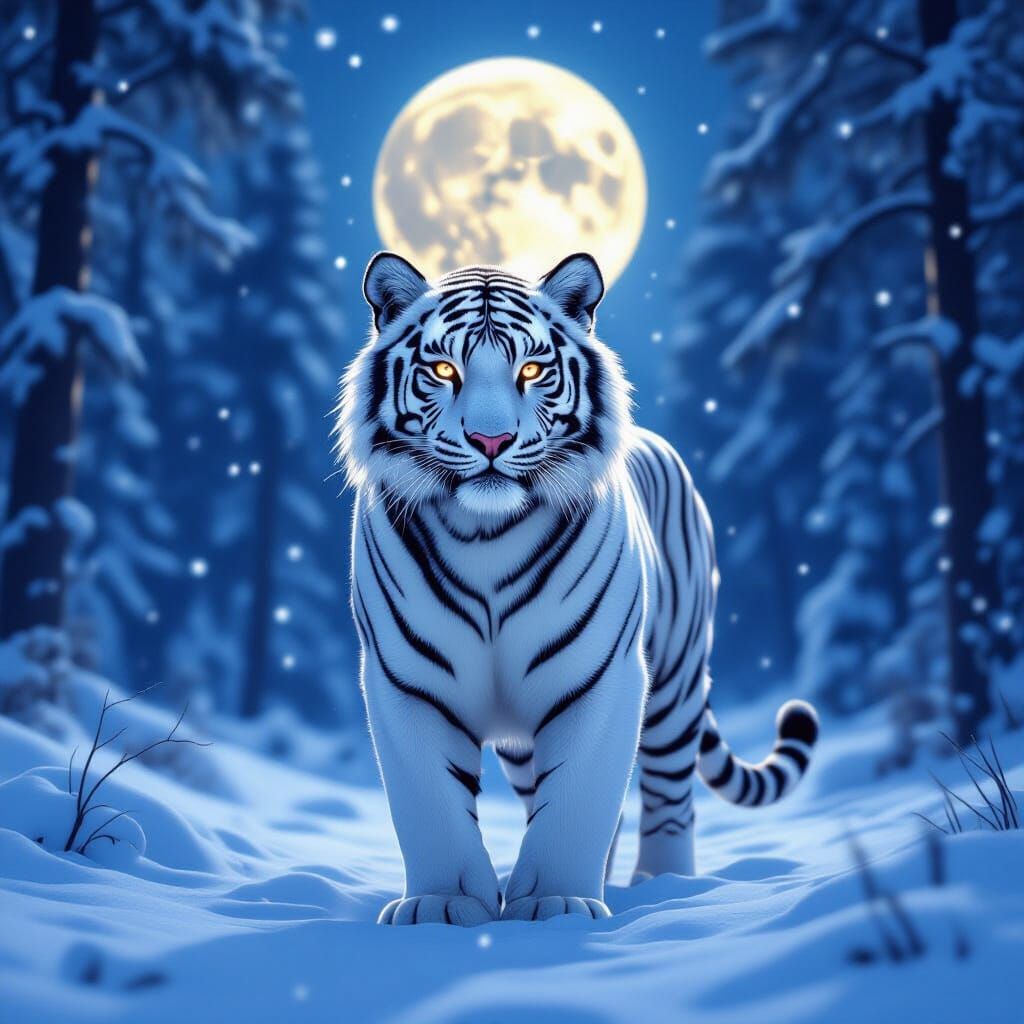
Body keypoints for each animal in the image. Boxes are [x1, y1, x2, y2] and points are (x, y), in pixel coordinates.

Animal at [335, 251, 819, 926]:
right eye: (444, 369)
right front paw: (444, 903)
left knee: (669, 794)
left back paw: (663, 887)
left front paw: (557, 903)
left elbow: (579, 795)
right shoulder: (408, 681)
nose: (491, 441)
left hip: (675, 682)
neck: (485, 534)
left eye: (532, 369)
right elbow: (430, 800)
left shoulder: (602, 676)